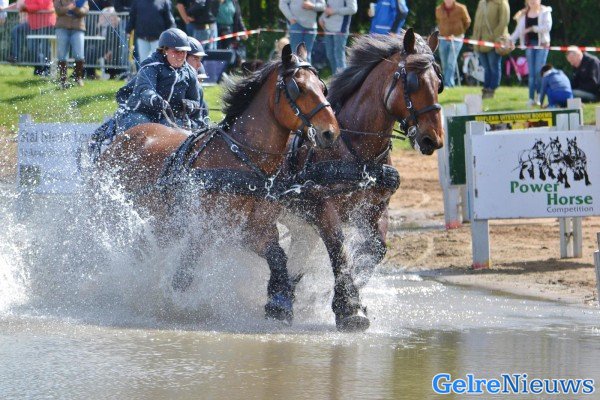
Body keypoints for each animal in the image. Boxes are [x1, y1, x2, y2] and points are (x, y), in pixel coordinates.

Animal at [95, 43, 340, 324]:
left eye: (322, 87)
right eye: (298, 88)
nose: (331, 132)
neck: (242, 161)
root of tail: (122, 138)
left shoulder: (256, 231)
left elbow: (278, 258)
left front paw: (279, 305)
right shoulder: (204, 230)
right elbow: (184, 273)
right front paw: (173, 303)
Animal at [281, 30, 444, 332]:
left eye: (439, 83)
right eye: (413, 81)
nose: (433, 139)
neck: (357, 152)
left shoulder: (375, 208)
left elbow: (374, 250)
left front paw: (339, 296)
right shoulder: (323, 207)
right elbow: (339, 247)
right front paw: (349, 307)